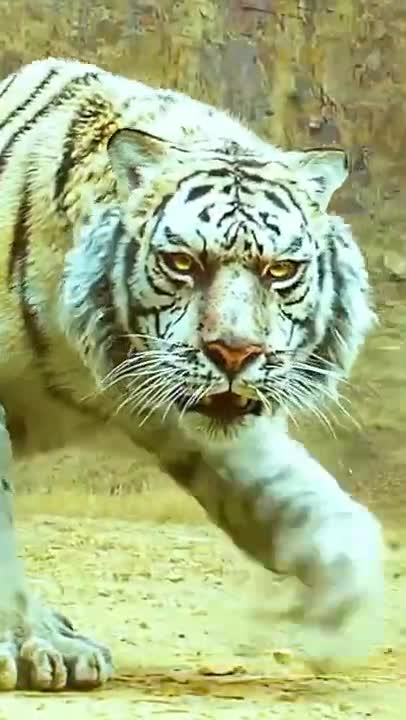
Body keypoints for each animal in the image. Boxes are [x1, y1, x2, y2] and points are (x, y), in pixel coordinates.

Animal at [0, 57, 384, 692]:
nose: (234, 352)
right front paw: (29, 645)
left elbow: (294, 494)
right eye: (183, 263)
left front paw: (338, 604)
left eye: (280, 270)